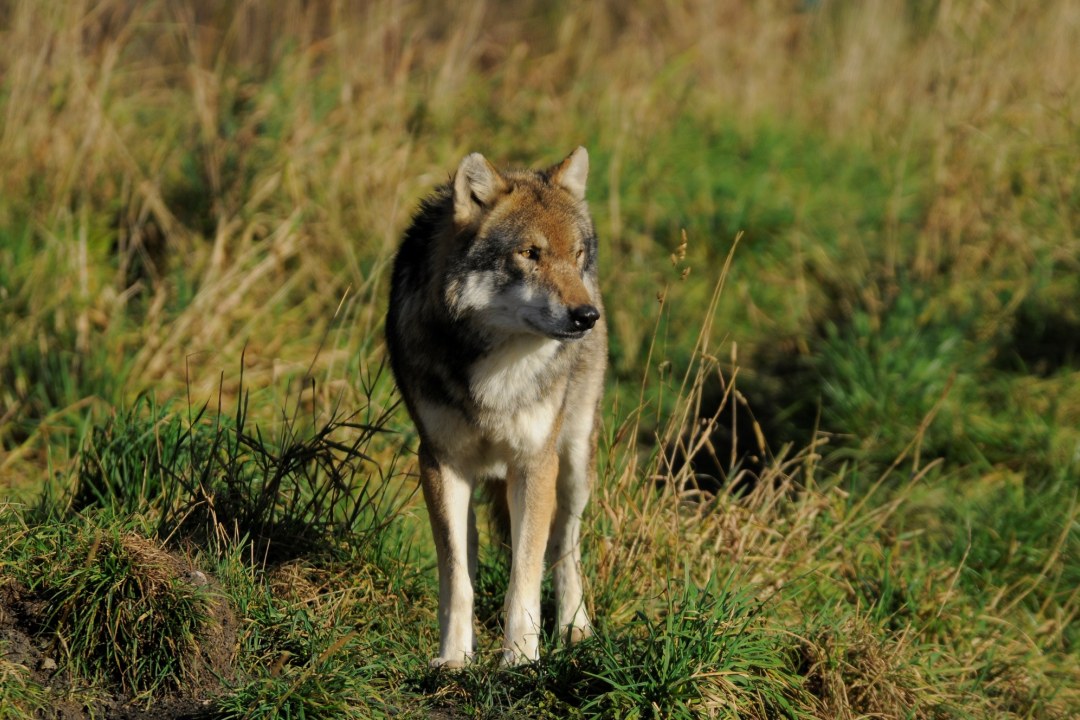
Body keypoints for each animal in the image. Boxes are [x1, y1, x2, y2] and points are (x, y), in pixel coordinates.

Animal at [385, 147, 607, 667]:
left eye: (577, 255)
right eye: (530, 253)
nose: (587, 316)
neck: (498, 371)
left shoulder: (534, 463)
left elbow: (523, 577)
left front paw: (521, 660)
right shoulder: (440, 464)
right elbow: (457, 580)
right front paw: (453, 659)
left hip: (572, 467)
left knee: (565, 546)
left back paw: (575, 628)